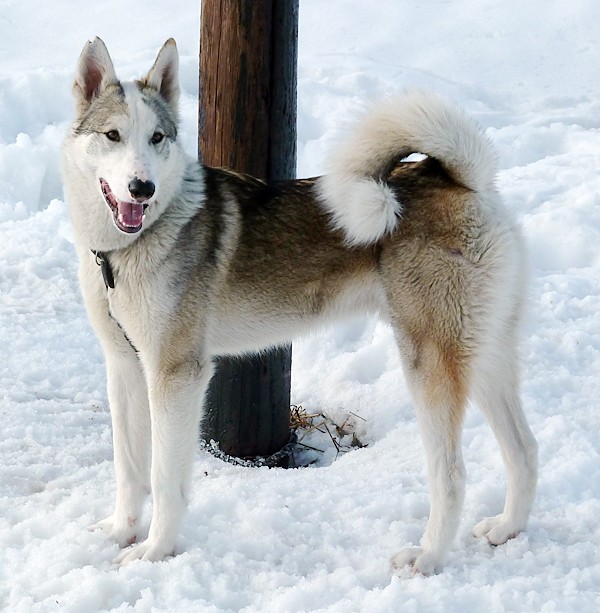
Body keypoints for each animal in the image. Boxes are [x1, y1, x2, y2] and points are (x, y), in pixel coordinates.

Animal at [61, 37, 537, 574]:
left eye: (158, 137)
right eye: (113, 135)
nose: (141, 188)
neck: (127, 249)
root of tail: (463, 179)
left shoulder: (177, 374)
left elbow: (165, 480)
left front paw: (154, 552)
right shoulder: (124, 366)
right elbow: (128, 469)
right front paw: (120, 532)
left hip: (429, 362)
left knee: (452, 475)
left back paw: (428, 556)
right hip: (485, 356)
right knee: (524, 450)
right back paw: (506, 528)